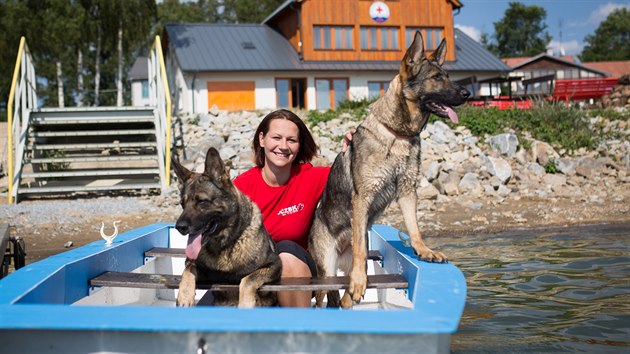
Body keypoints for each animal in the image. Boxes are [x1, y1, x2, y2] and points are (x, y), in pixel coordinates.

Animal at [172, 147, 282, 306]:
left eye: (202, 202)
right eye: (182, 204)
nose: (179, 227)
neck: (225, 245)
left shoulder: (274, 265)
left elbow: (248, 279)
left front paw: (245, 303)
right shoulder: (195, 264)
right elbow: (188, 271)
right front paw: (185, 295)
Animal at [308, 31, 472, 306]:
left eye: (447, 75)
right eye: (436, 78)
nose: (468, 93)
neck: (398, 134)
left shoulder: (407, 192)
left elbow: (414, 227)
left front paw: (423, 251)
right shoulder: (362, 198)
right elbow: (361, 250)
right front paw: (359, 280)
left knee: (343, 300)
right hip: (326, 272)